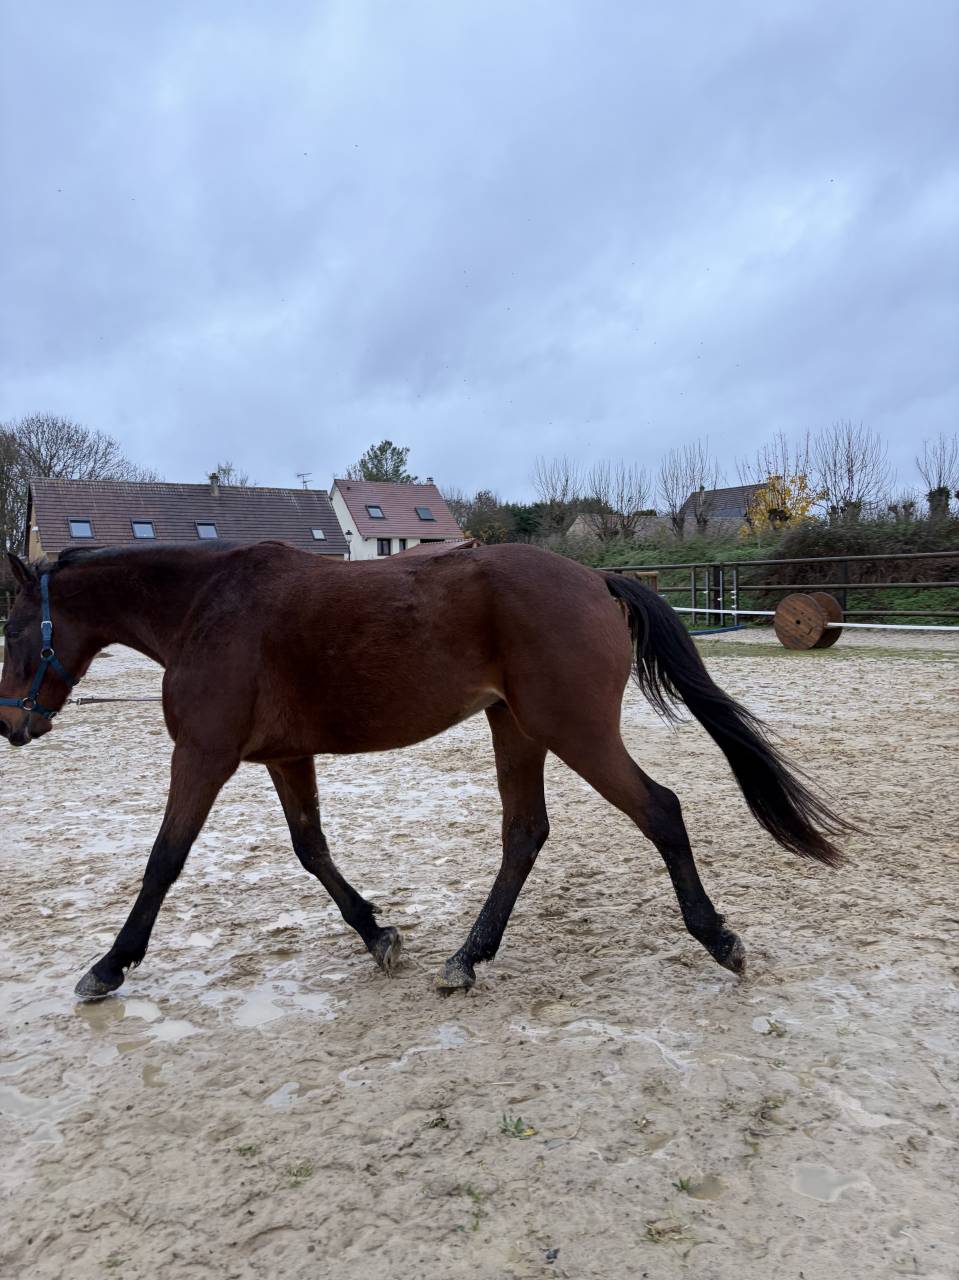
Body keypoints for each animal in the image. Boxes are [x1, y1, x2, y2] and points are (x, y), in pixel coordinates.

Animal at [1, 542, 849, 1001]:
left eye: (8, 628)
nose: (12, 724)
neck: (205, 608)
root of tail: (594, 579)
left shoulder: (203, 756)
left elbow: (163, 860)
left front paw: (109, 966)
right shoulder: (283, 757)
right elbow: (311, 851)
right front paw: (377, 933)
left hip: (571, 731)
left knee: (660, 810)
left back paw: (718, 940)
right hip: (517, 729)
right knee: (524, 834)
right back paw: (467, 958)